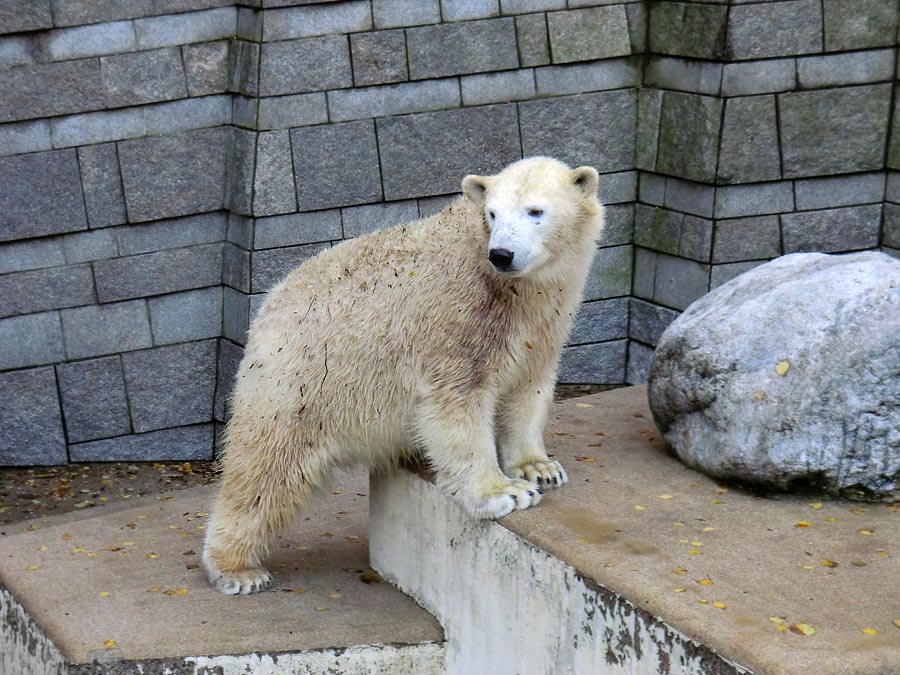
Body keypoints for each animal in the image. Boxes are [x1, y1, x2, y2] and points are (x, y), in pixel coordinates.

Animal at [200, 156, 600, 596]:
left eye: (535, 211)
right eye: (493, 213)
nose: (502, 254)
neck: (513, 287)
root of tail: (266, 309)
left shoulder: (543, 321)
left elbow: (528, 389)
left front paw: (539, 468)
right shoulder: (460, 316)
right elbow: (457, 402)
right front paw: (503, 493)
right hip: (300, 382)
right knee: (266, 468)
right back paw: (237, 569)